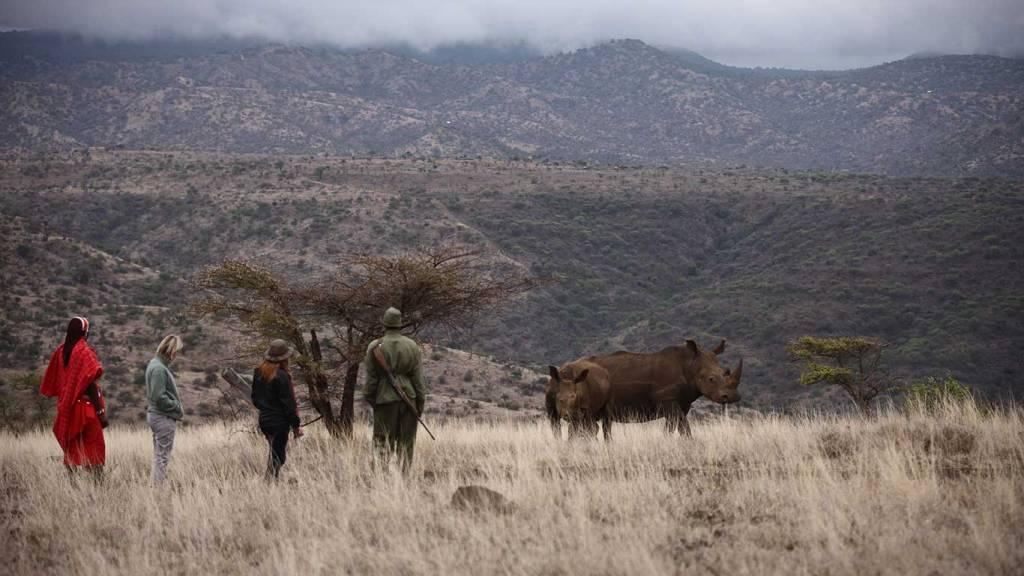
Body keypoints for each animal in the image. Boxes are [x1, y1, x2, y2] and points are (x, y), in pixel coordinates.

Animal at [546, 339, 742, 437]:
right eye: (711, 379)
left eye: (726, 372)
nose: (732, 397)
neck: (690, 364)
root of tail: (563, 368)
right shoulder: (669, 400)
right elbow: (684, 427)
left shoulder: (679, 402)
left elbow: (674, 427)